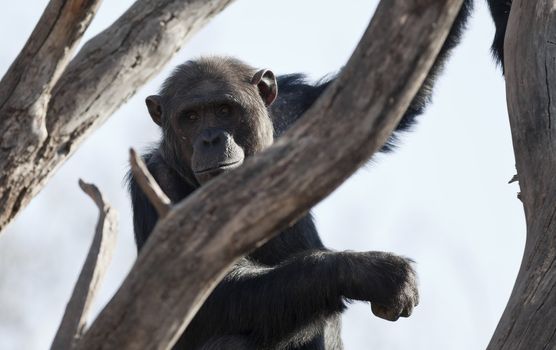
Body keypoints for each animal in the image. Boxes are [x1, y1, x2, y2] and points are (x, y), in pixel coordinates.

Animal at [128, 1, 510, 348]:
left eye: (224, 110)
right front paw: (368, 272)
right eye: (191, 117)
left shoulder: (294, 109)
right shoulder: (157, 181)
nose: (210, 138)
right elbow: (195, 295)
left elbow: (394, 99)